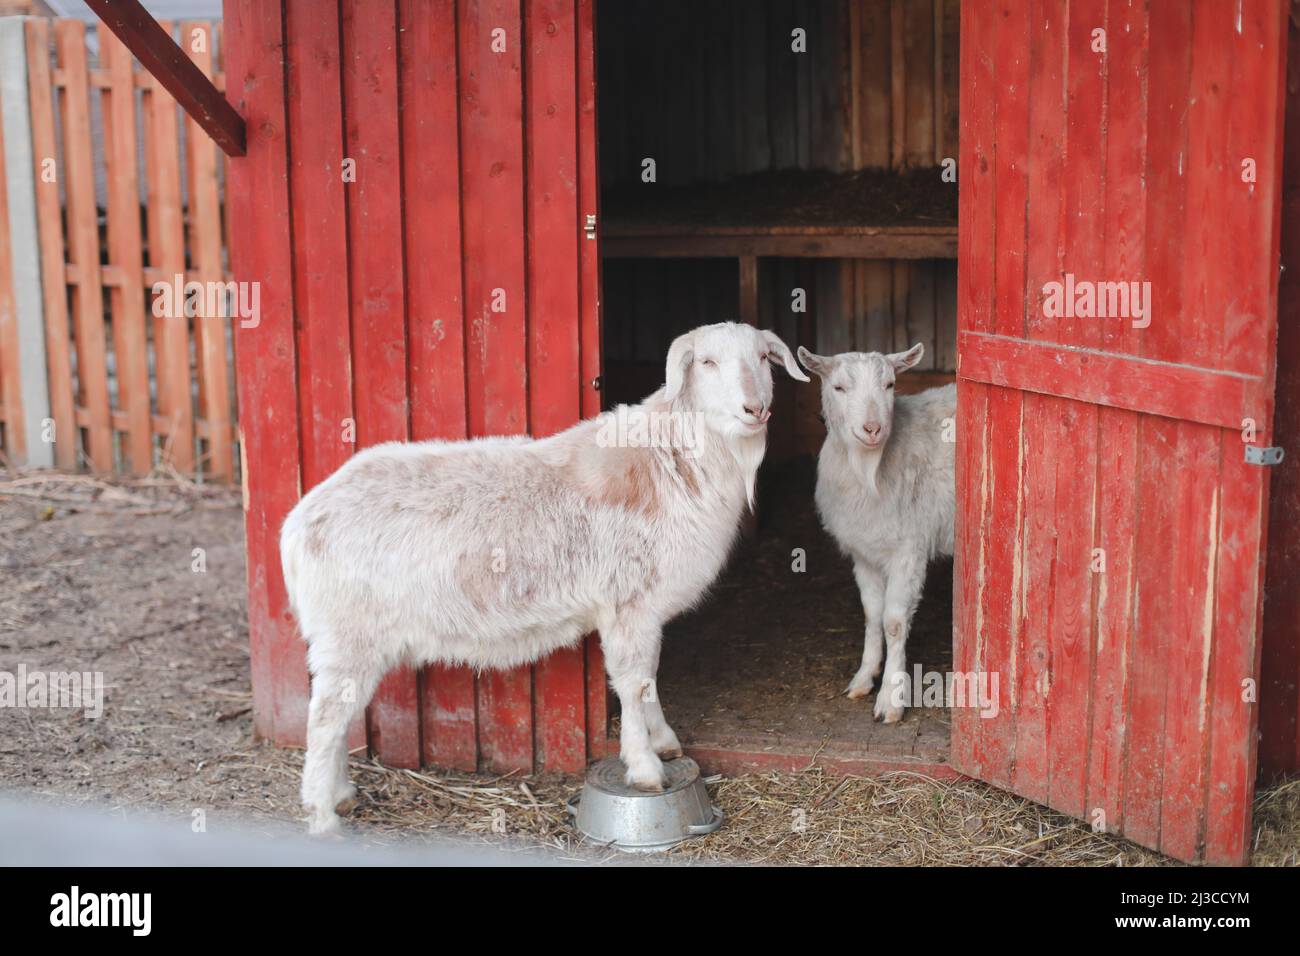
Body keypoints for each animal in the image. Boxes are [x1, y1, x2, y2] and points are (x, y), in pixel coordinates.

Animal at [284, 323, 806, 837]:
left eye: (764, 358)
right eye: (707, 362)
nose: (755, 408)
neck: (669, 459)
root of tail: (298, 522)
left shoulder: (646, 610)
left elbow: (649, 678)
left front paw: (664, 742)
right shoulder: (627, 603)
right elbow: (633, 681)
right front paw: (644, 768)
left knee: (337, 715)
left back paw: (342, 795)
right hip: (348, 632)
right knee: (324, 719)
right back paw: (323, 815)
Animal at [790, 348, 956, 723]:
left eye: (890, 384)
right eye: (838, 387)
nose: (872, 429)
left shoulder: (909, 548)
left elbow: (893, 621)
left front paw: (890, 700)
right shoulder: (863, 552)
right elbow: (871, 613)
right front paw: (864, 677)